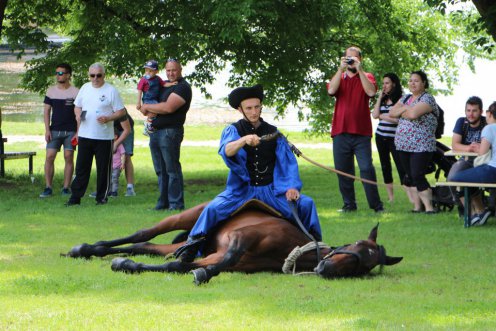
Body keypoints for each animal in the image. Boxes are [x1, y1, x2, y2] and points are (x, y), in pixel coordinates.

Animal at [66, 200, 402, 286]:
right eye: (356, 245)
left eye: (364, 266)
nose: (325, 269)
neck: (292, 247)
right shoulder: (239, 240)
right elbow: (218, 260)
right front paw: (201, 275)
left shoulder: (220, 256)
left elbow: (177, 266)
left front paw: (126, 265)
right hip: (189, 216)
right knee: (142, 234)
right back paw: (83, 247)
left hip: (189, 239)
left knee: (147, 247)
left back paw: (97, 251)